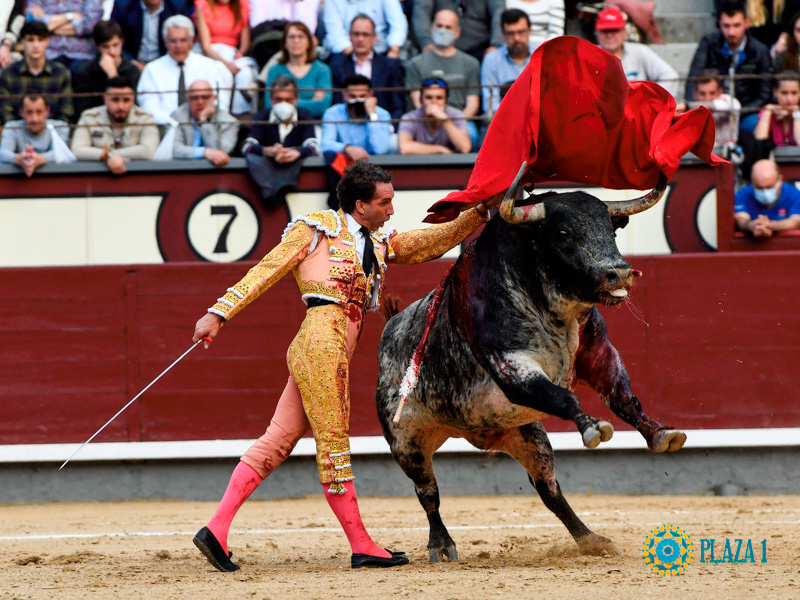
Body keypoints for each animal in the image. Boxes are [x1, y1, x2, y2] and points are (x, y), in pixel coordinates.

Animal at [378, 163, 684, 556]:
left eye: (611, 228)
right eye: (564, 233)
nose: (619, 272)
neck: (556, 310)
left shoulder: (599, 354)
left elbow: (623, 397)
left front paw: (662, 433)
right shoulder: (512, 366)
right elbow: (565, 397)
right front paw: (592, 426)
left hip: (528, 436)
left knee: (549, 489)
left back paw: (591, 539)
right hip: (407, 442)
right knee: (427, 492)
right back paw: (442, 546)